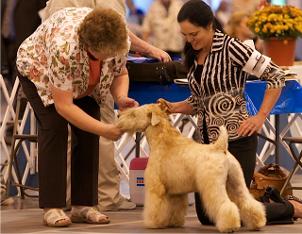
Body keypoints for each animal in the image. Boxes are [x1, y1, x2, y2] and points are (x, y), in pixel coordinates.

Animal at [117, 100, 266, 232]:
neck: (162, 140)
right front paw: (174, 223)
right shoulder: (176, 192)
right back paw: (257, 222)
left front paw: (153, 223)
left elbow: (155, 207)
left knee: (225, 204)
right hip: (236, 183)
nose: (118, 116)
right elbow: (175, 208)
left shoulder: (156, 188)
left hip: (214, 186)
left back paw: (229, 226)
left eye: (134, 114)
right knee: (247, 202)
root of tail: (220, 147)